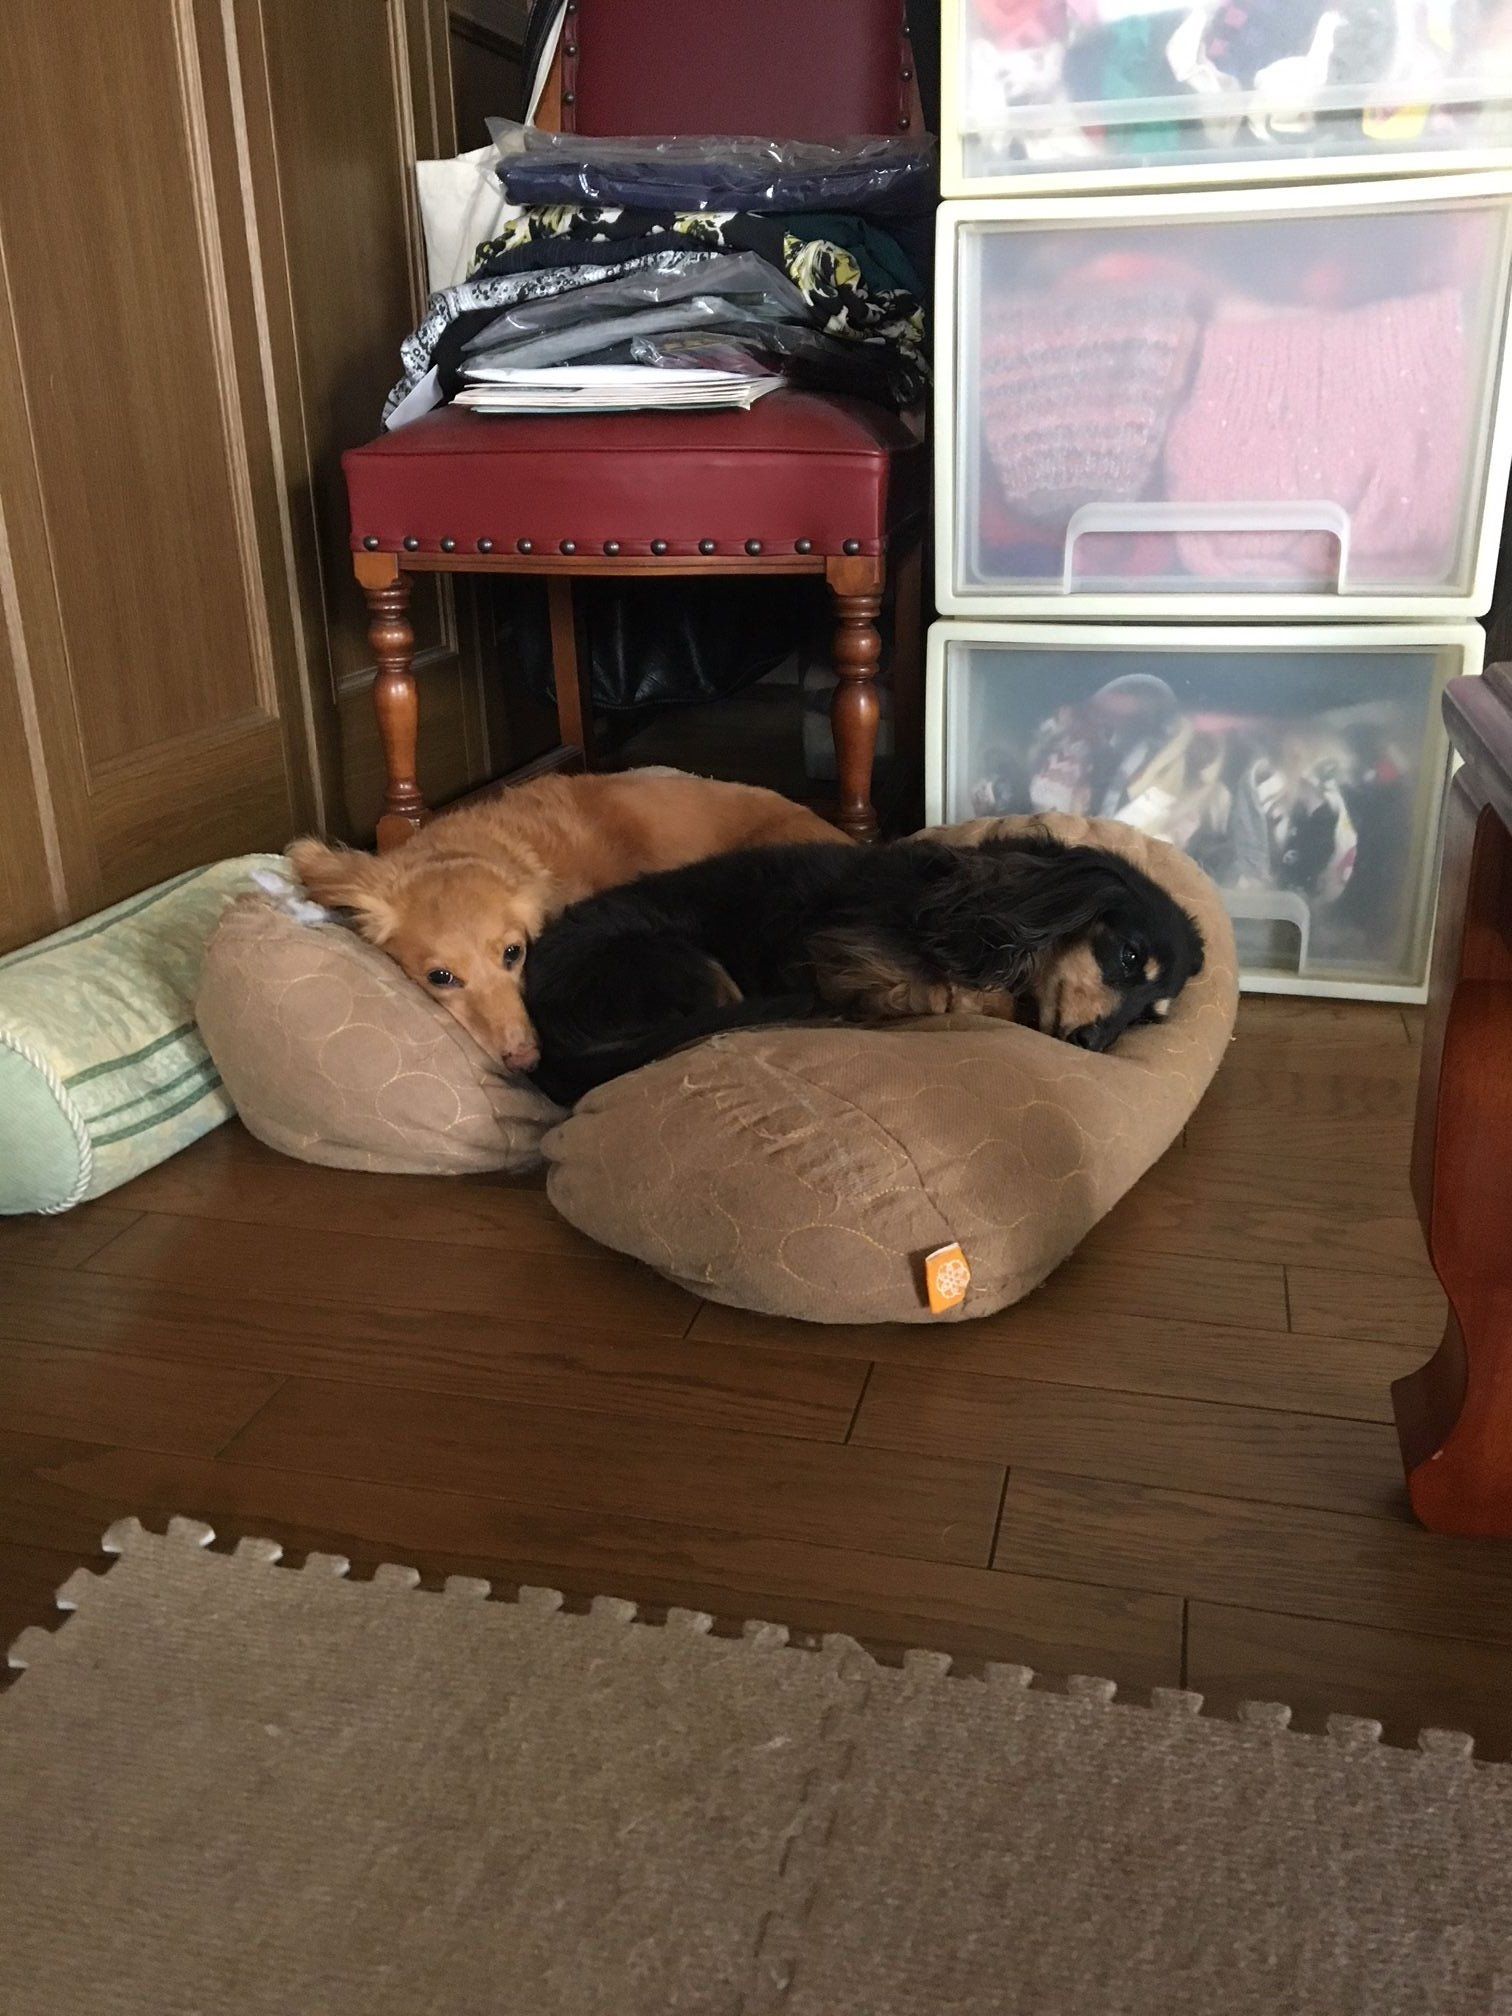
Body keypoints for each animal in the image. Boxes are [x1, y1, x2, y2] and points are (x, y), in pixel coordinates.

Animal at [523, 830, 1206, 1105]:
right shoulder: (845, 953)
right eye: (1128, 957)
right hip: (688, 966)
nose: (1094, 1045)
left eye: (1150, 1020)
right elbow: (943, 995)